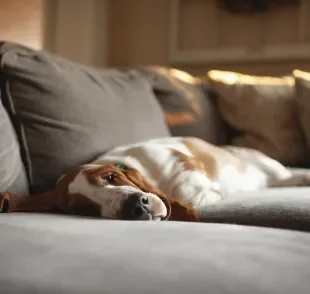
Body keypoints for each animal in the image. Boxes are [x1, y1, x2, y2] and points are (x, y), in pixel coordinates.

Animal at [0, 137, 310, 222]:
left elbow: (188, 186)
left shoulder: (180, 159)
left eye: (111, 177)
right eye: (83, 209)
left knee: (288, 174)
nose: (139, 205)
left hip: (268, 166)